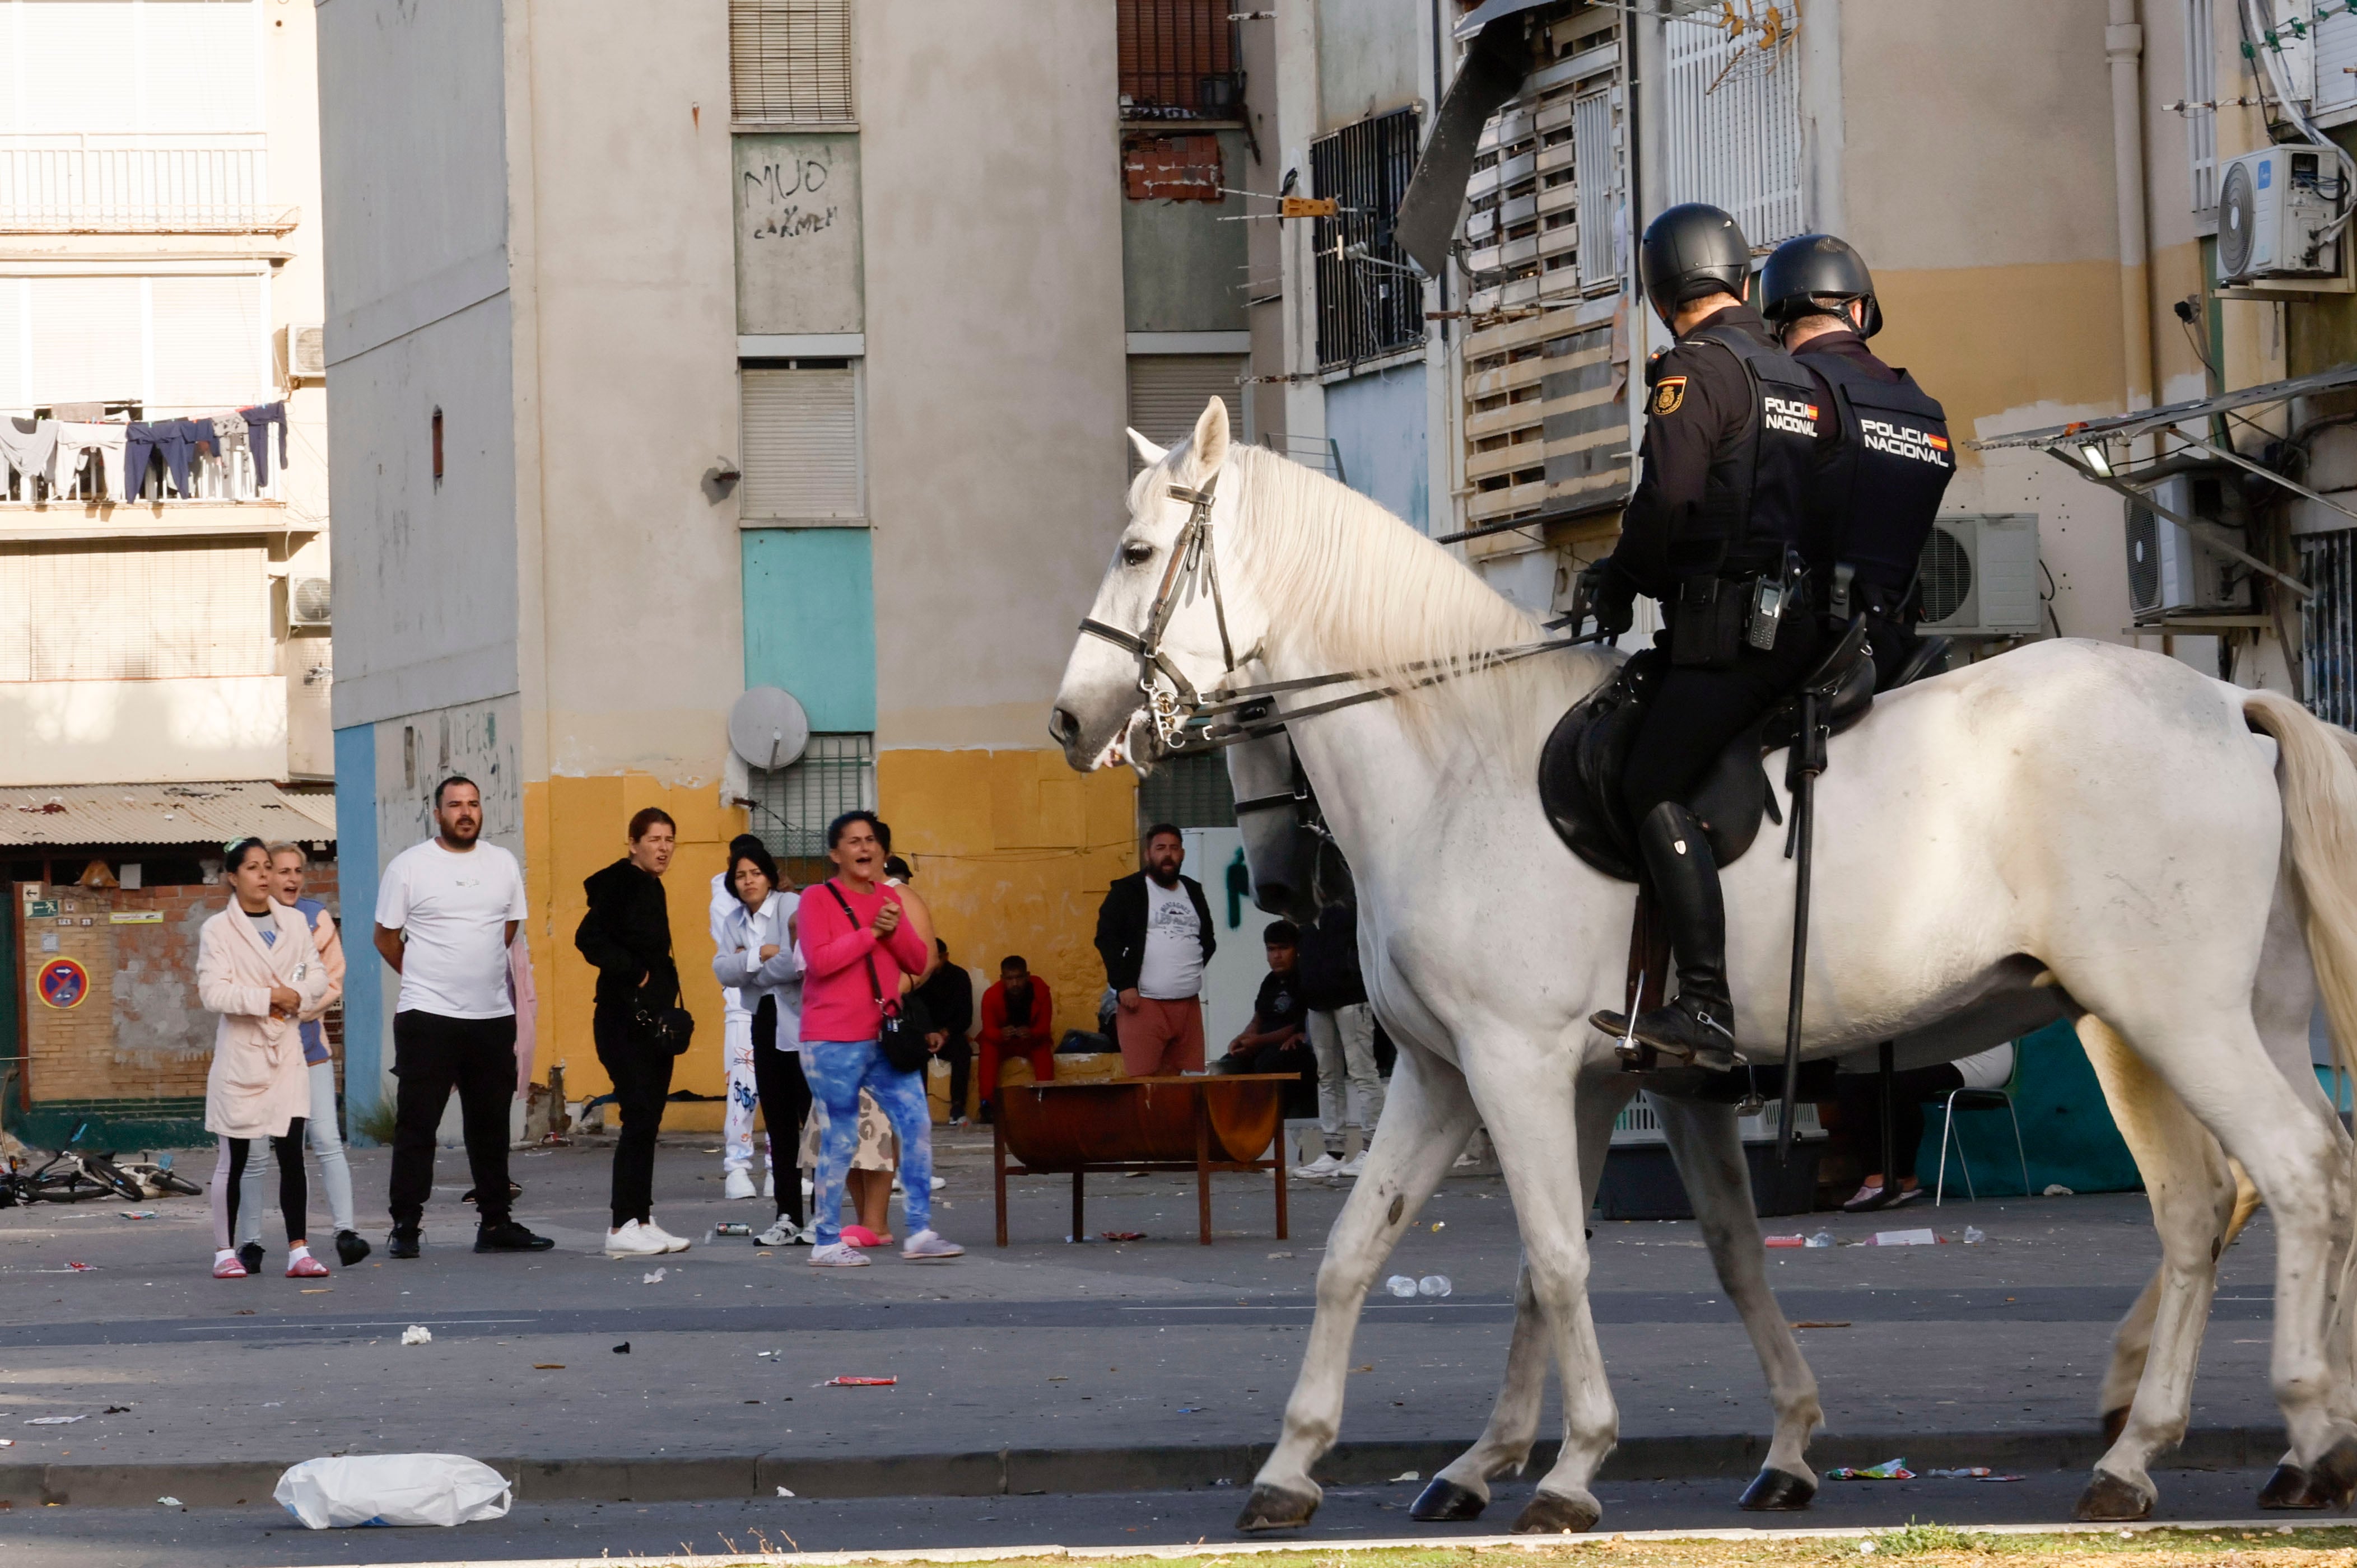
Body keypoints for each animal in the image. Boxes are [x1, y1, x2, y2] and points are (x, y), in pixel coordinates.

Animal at [1060, 394, 2357, 1528]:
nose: (1073, 723)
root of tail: (2232, 701)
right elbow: (1370, 1256)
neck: (1461, 762)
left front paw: (1571, 1466)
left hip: (2174, 1018)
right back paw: (2188, 1442)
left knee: (2287, 1172)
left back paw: (2276, 1424)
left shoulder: (1516, 1068)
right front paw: (1316, 1466)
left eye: (1137, 548)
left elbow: (1553, 1258)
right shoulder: (1472, 1077)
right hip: (2178, 1021)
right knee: (2236, 1194)